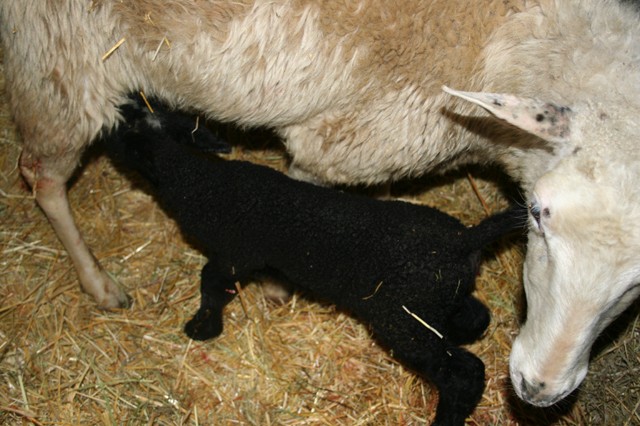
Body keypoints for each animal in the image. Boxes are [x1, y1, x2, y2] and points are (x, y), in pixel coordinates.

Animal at [105, 94, 523, 426]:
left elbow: (211, 285)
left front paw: (201, 328)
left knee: (465, 373)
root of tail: (464, 239)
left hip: (402, 318)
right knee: (476, 315)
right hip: (437, 298)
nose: (111, 112)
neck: (196, 177)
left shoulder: (235, 254)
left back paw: (446, 417)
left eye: (123, 128)